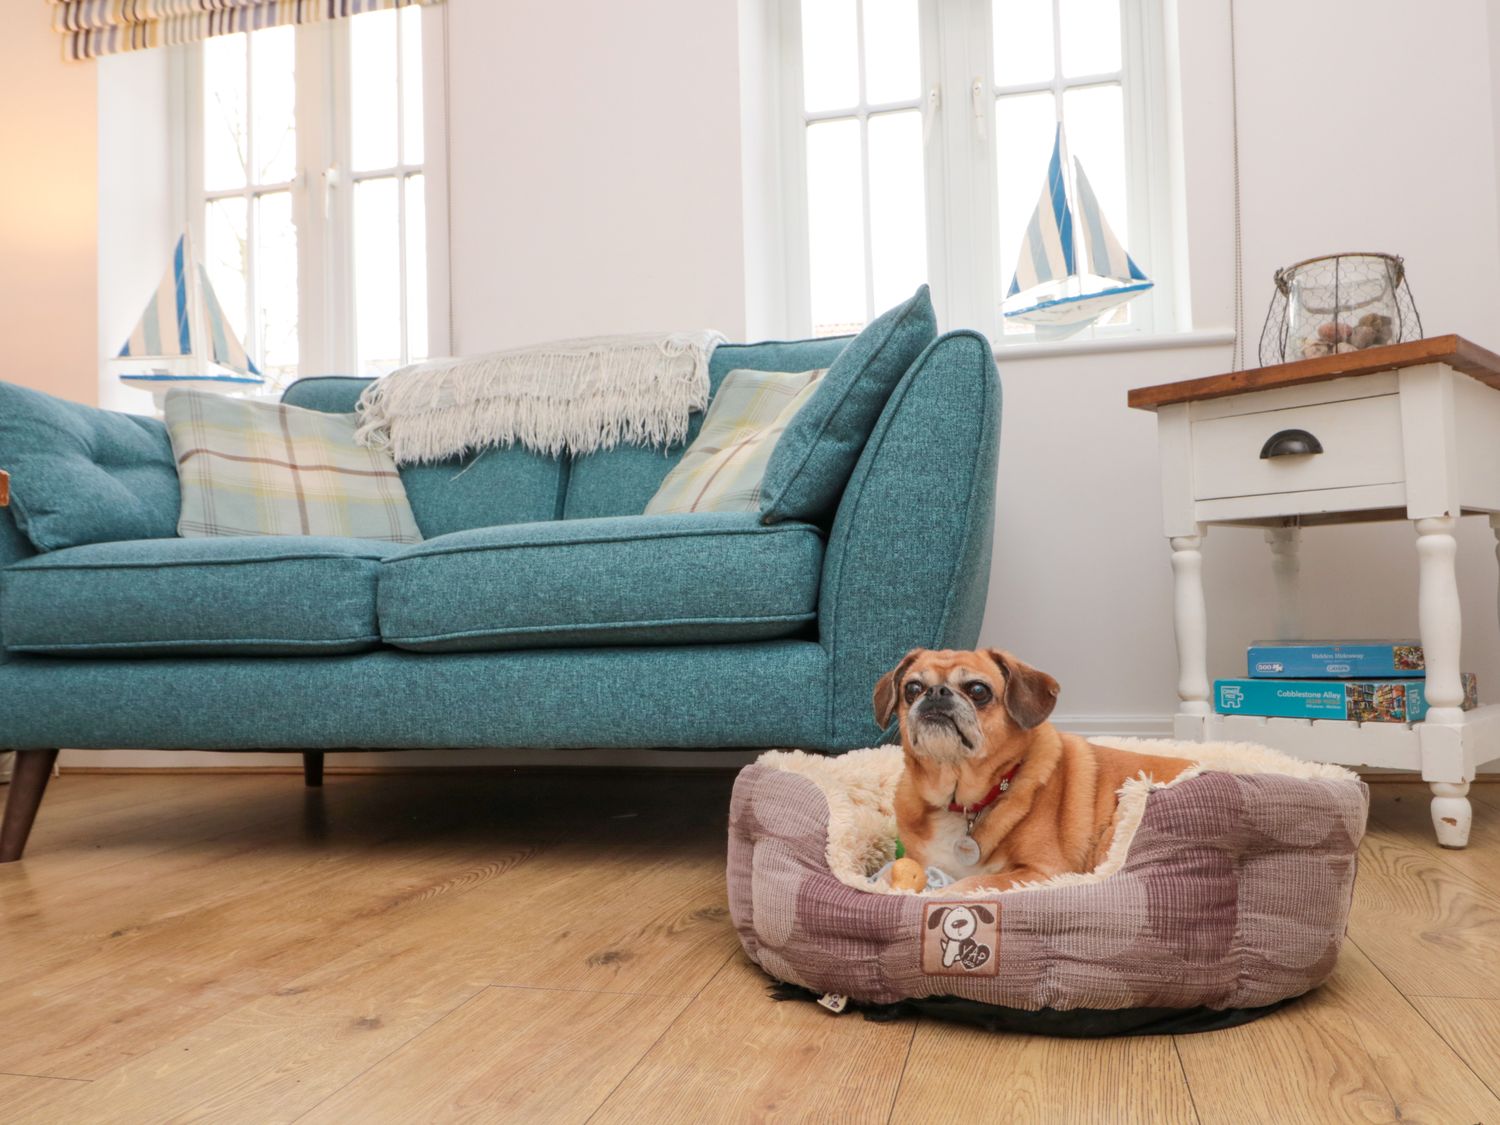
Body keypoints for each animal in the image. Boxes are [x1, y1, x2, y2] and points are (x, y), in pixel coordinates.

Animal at [876, 648, 1188, 894]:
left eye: (978, 691)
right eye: (912, 689)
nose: (935, 692)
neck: (961, 800)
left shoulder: (1042, 872)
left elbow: (966, 885)